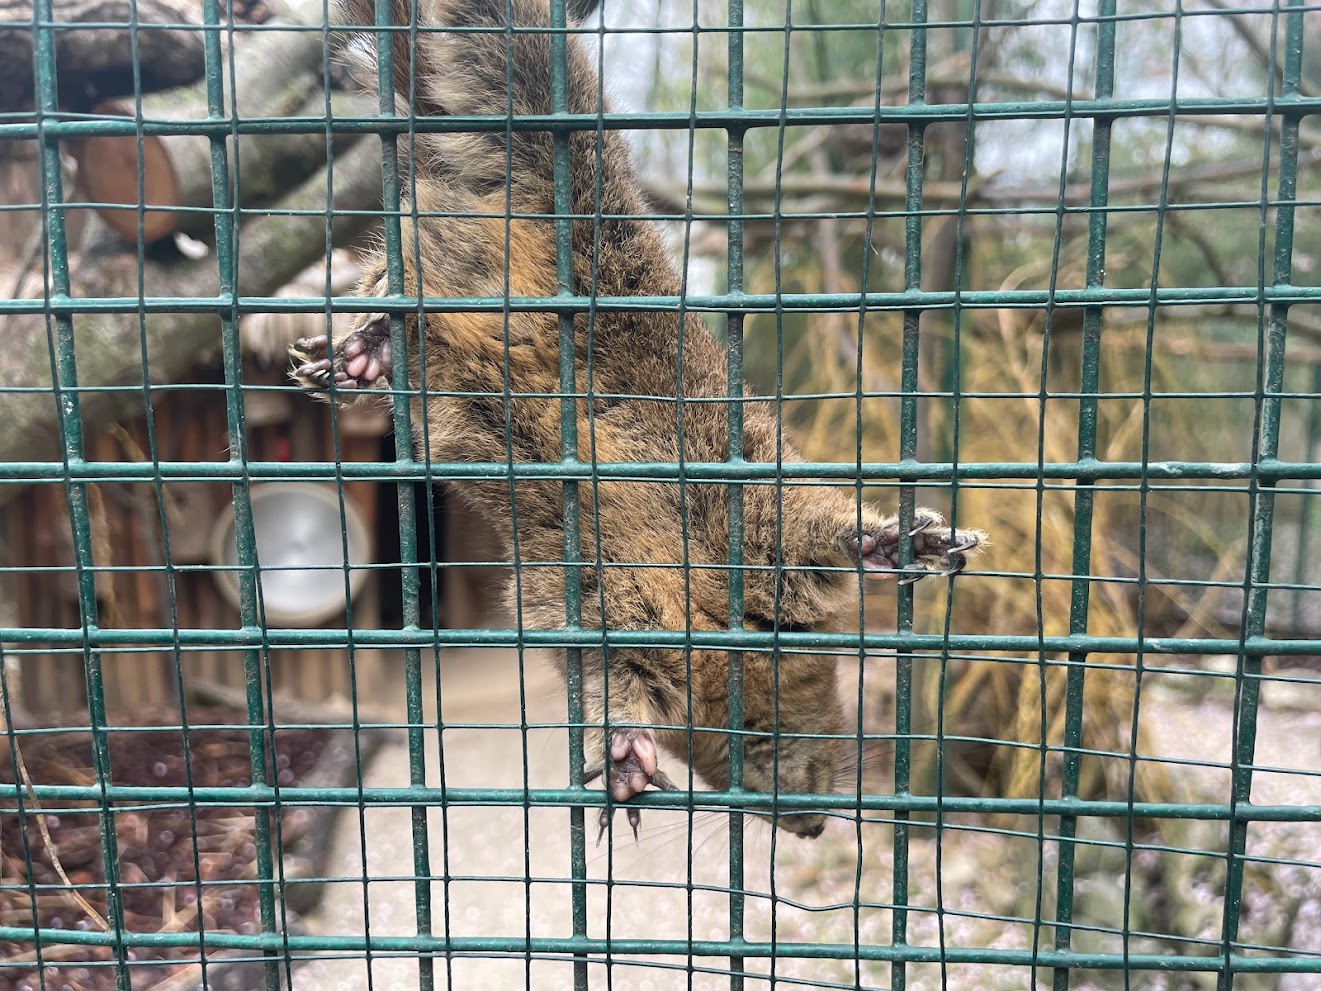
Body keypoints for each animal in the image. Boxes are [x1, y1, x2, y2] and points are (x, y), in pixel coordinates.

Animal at [291, 0, 988, 841]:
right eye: (743, 753)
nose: (814, 827)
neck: (705, 607)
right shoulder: (598, 601)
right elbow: (608, 682)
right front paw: (624, 755)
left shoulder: (733, 501)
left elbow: (809, 529)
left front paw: (898, 542)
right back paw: (365, 355)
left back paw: (368, 354)